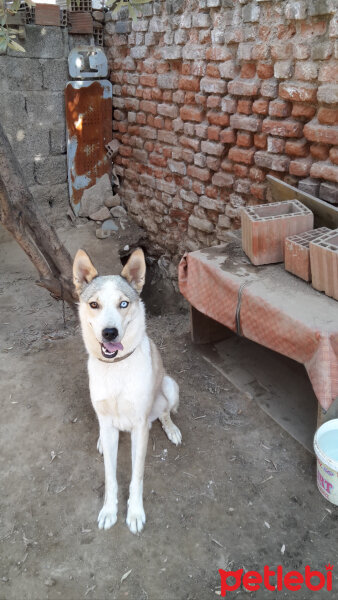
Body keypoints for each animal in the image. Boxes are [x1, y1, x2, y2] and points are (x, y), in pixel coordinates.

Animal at [72, 248, 181, 536]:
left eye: (123, 304)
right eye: (94, 304)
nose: (110, 333)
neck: (116, 367)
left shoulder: (140, 426)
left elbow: (137, 476)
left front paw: (134, 513)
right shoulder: (106, 417)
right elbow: (110, 476)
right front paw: (110, 510)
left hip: (170, 386)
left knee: (164, 412)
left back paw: (171, 429)